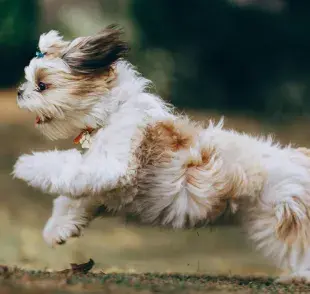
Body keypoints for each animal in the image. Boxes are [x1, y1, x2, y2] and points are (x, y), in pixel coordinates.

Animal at [13, 24, 310, 282]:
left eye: (42, 85)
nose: (18, 92)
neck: (113, 111)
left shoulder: (113, 165)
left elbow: (67, 166)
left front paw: (26, 165)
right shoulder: (104, 187)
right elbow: (71, 199)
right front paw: (58, 230)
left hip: (285, 217)